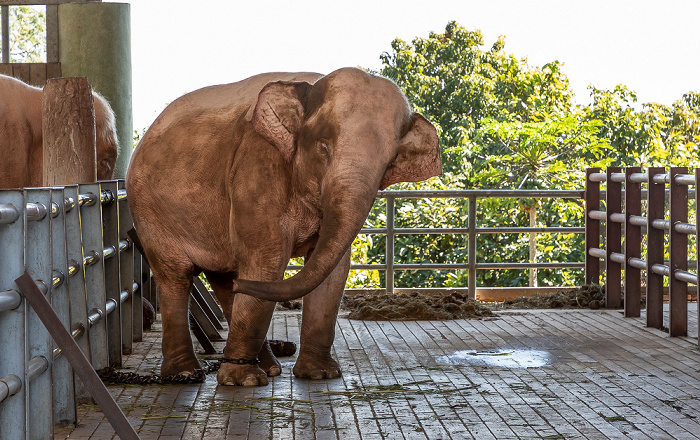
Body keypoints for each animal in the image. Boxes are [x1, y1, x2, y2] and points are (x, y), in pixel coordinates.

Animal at [126, 65, 440, 384]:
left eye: (390, 162)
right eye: (323, 146)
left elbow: (332, 269)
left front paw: (319, 375)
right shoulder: (259, 165)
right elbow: (267, 261)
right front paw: (244, 381)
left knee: (226, 278)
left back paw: (265, 364)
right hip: (150, 210)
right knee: (176, 276)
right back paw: (188, 374)